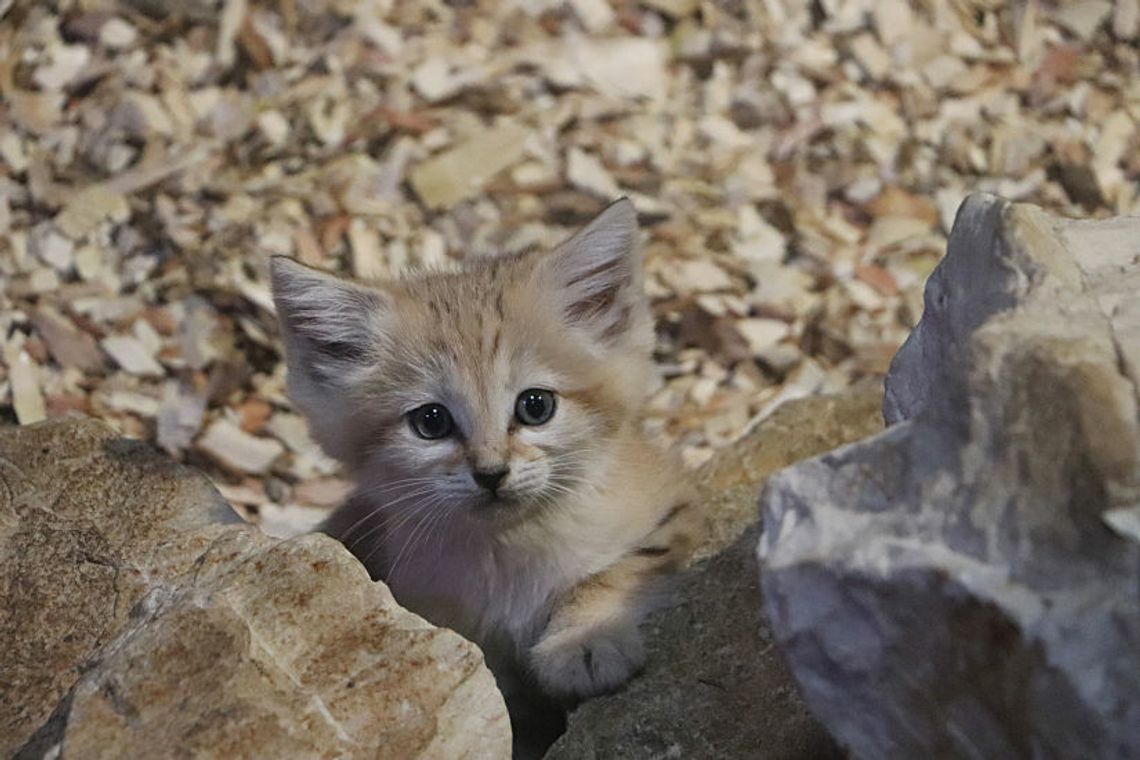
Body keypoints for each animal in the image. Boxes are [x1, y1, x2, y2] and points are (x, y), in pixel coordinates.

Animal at [271, 198, 697, 720]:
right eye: (431, 422)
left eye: (536, 406)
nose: (491, 473)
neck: (510, 550)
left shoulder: (673, 505)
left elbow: (616, 571)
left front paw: (583, 639)